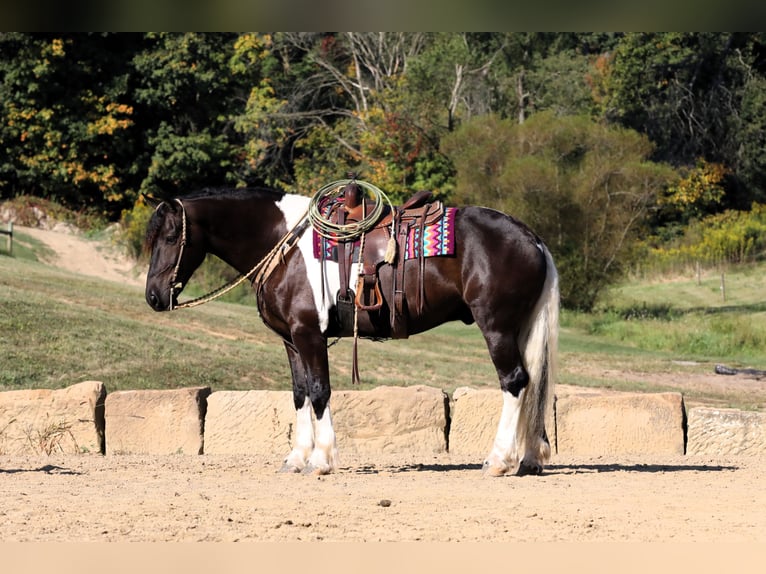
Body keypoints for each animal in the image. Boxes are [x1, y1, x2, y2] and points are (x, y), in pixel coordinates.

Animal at [144, 187, 560, 480]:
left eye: (171, 237)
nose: (153, 296)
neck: (285, 243)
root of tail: (532, 238)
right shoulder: (290, 340)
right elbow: (299, 395)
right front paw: (296, 458)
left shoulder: (309, 334)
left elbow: (319, 391)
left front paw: (321, 460)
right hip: (519, 328)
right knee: (532, 383)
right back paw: (529, 459)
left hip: (496, 326)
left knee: (514, 382)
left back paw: (498, 460)